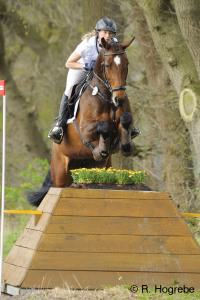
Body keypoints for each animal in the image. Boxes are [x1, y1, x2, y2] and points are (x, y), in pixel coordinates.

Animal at [27, 37, 136, 206]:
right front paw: (101, 149)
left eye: (126, 64)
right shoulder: (85, 129)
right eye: (107, 65)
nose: (120, 99)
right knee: (57, 187)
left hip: (98, 166)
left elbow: (125, 120)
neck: (107, 97)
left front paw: (125, 145)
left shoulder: (121, 121)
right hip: (60, 172)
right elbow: (104, 126)